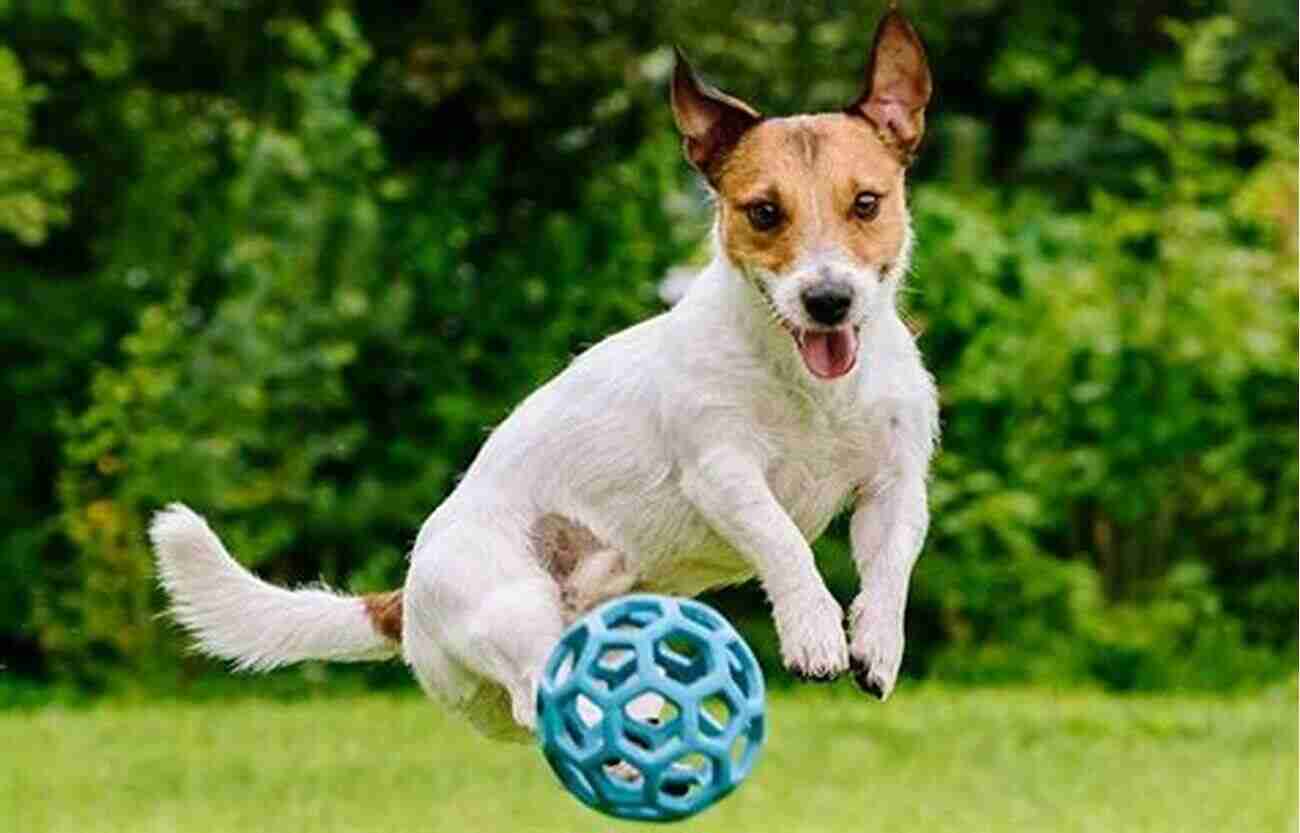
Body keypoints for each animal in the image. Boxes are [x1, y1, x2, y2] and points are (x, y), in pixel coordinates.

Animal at [152, 9, 935, 738]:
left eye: (866, 203)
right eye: (765, 212)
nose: (828, 300)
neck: (815, 390)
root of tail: (404, 599)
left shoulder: (894, 483)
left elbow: (892, 565)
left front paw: (876, 642)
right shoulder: (722, 470)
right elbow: (782, 540)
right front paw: (813, 631)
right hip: (511, 606)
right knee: (538, 697)